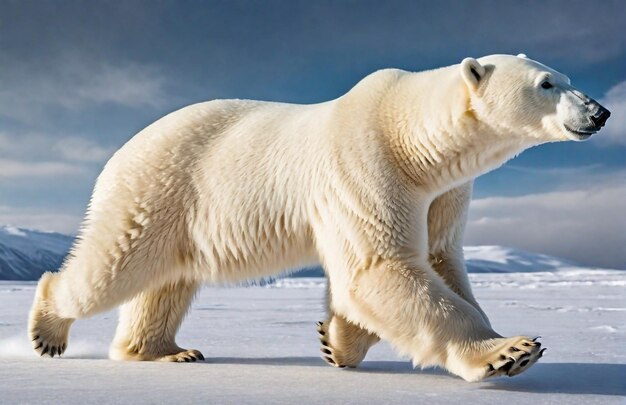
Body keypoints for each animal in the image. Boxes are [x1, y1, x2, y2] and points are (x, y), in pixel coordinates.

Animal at [26, 54, 608, 382]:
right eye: (546, 84)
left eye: (566, 76)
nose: (600, 111)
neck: (413, 140)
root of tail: (125, 149)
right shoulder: (366, 164)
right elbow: (380, 266)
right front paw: (511, 351)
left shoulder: (443, 193)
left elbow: (435, 261)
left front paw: (336, 340)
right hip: (160, 189)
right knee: (114, 266)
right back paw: (48, 329)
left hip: (181, 216)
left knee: (167, 282)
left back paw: (166, 352)